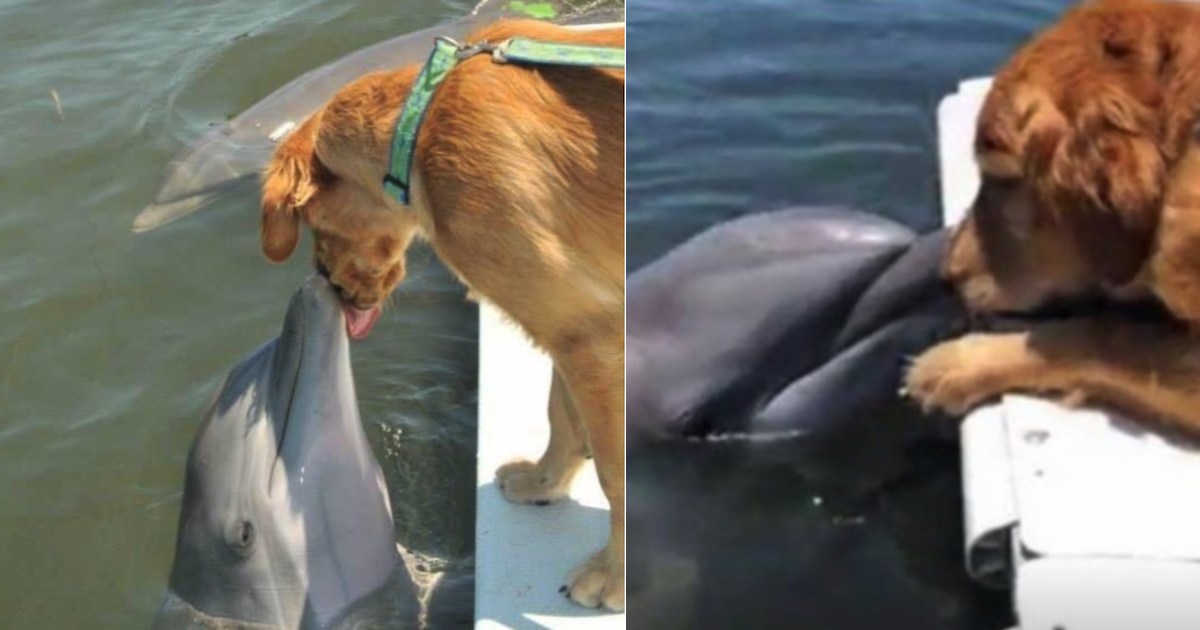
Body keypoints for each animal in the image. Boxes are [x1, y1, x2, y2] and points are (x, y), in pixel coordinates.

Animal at [256, 19, 624, 609]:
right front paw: (542, 485)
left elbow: (616, 473)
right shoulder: (573, 323)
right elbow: (561, 414)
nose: (329, 284)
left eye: (313, 223)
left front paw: (614, 577)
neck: (420, 127)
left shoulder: (592, 335)